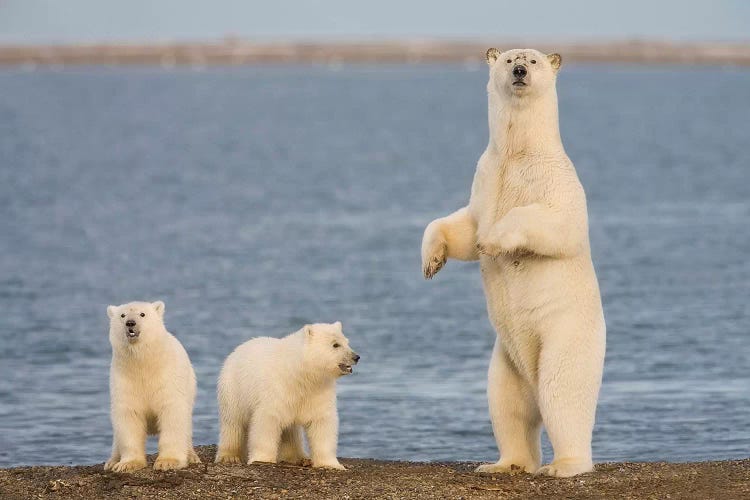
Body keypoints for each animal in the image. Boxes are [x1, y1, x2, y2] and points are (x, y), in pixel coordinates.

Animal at [104, 300, 203, 472]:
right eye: (122, 315)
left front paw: (168, 461)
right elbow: (129, 416)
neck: (144, 364)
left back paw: (191, 456)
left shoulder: (167, 379)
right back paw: (111, 461)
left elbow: (172, 413)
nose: (130, 323)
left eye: (142, 314)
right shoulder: (125, 381)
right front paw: (127, 464)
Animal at [216, 322, 360, 470]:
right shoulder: (276, 390)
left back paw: (299, 458)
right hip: (233, 389)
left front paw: (331, 464)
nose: (356, 357)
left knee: (290, 432)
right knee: (233, 423)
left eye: (347, 342)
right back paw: (229, 457)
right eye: (335, 344)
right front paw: (263, 459)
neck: (299, 374)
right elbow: (267, 421)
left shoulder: (317, 391)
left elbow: (321, 422)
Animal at [426, 48, 608, 478]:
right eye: (509, 59)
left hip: (564, 338)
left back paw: (563, 465)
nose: (521, 71)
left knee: (562, 395)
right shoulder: (484, 177)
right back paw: (503, 463)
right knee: (507, 406)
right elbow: (462, 226)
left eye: (535, 61)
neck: (517, 152)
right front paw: (432, 260)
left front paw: (493, 241)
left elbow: (557, 225)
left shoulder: (556, 181)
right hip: (505, 360)